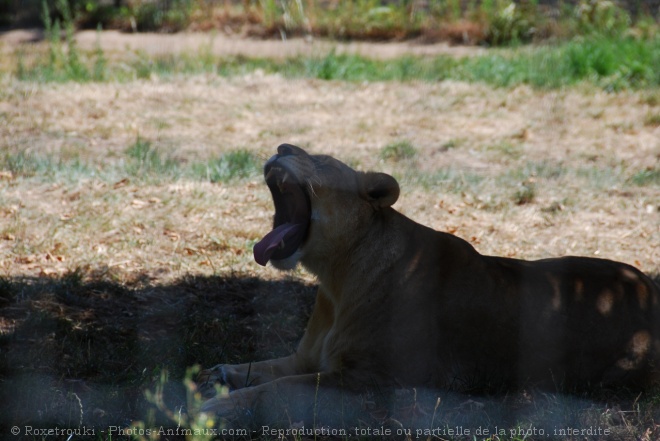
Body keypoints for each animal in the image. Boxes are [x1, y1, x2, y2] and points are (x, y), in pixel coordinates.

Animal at [200, 144, 660, 422]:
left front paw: (215, 405)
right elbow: (264, 368)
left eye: (325, 161)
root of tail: (648, 290)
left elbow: (273, 389)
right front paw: (219, 373)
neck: (335, 279)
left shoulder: (367, 380)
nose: (282, 148)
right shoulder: (307, 358)